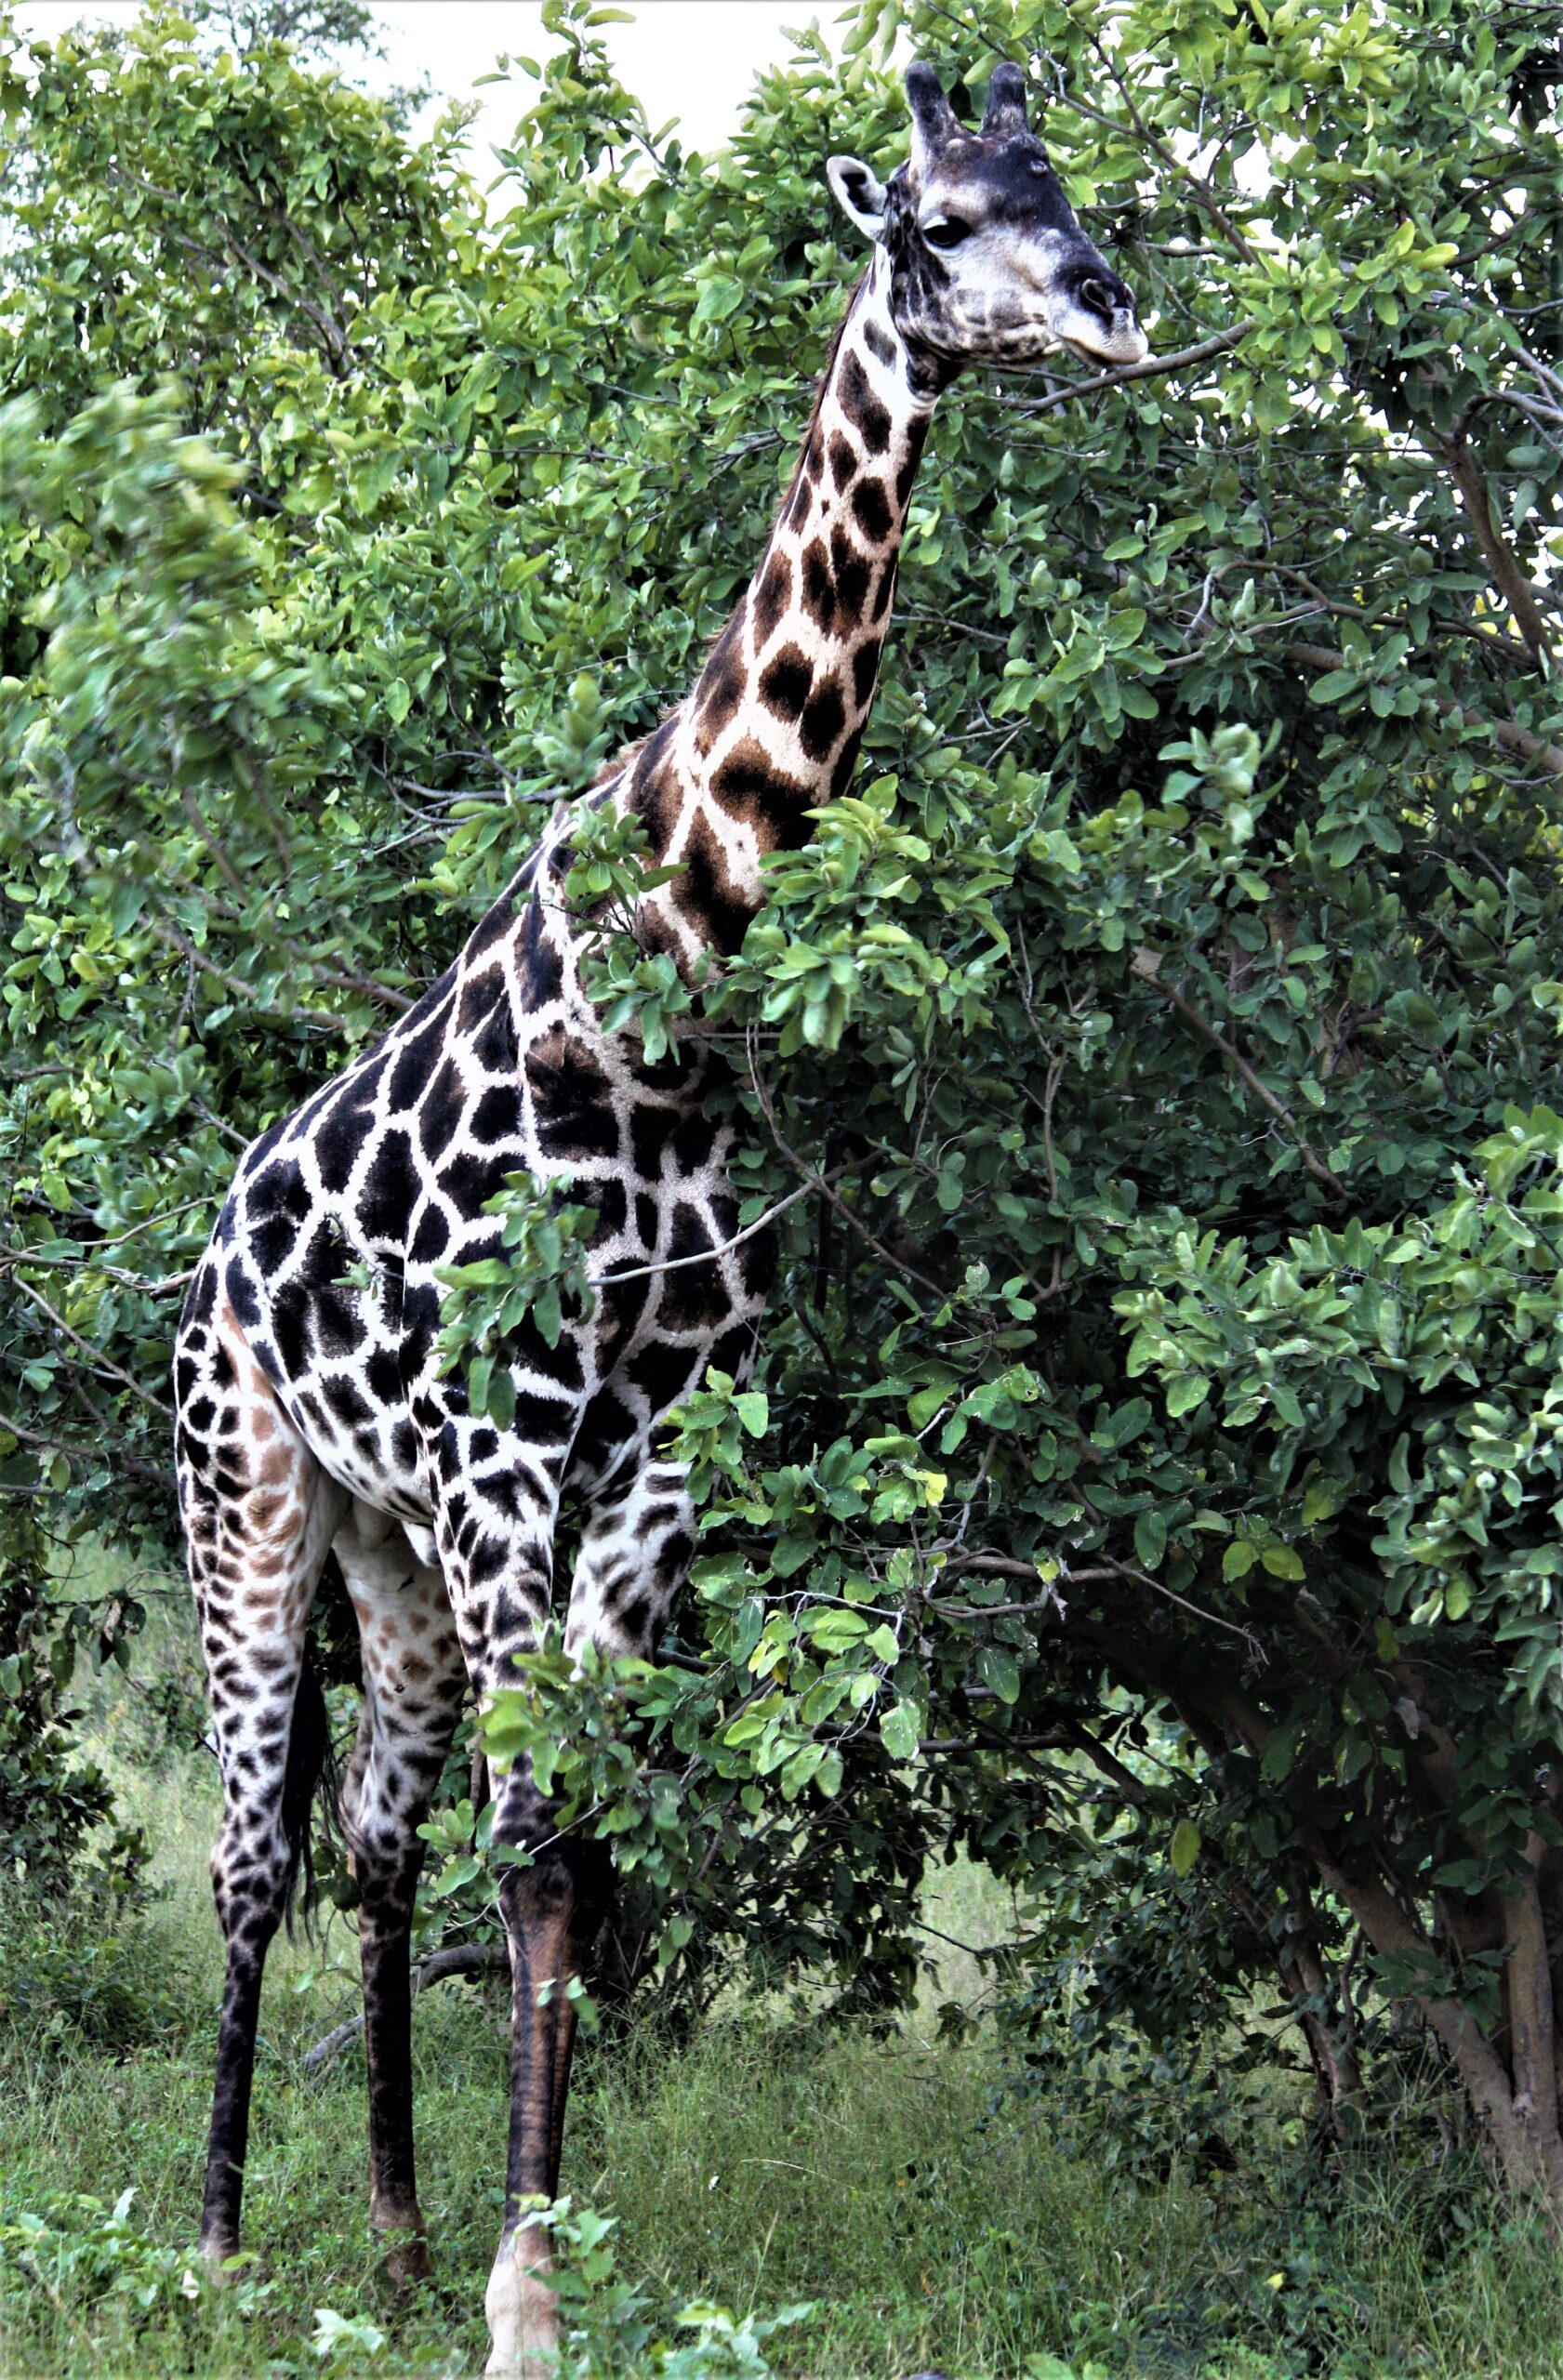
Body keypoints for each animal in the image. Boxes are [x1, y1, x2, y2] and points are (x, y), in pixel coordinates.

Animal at [173, 56, 1146, 2380]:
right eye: (932, 226)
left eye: (1064, 188)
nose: (1109, 309)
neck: (676, 974)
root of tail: (211, 1246)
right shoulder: (510, 1449)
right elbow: (540, 1851)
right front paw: (530, 2307)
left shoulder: (654, 1459)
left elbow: (585, 1859)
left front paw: (537, 2260)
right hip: (251, 1499)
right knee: (253, 1850)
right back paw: (229, 2248)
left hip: (391, 1551)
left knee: (373, 1841)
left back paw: (393, 2234)